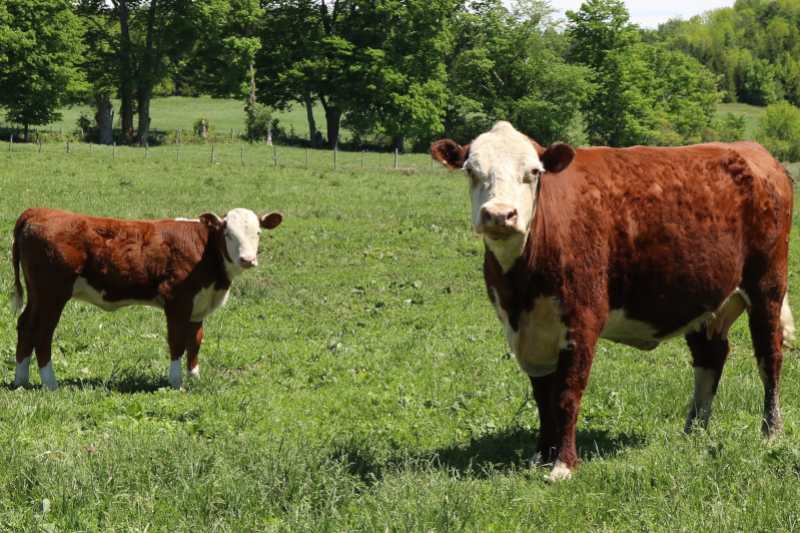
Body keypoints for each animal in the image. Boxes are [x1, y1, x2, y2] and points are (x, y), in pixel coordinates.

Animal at [9, 208, 282, 390]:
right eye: (228, 234)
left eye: (258, 232)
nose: (248, 259)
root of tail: (40, 212)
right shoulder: (178, 301)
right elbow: (177, 343)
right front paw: (176, 383)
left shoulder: (199, 304)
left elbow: (195, 341)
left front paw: (194, 377)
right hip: (53, 294)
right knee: (43, 332)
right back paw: (50, 384)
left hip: (37, 294)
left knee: (25, 326)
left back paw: (21, 380)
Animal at [434, 122, 796, 480]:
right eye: (471, 171)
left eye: (533, 172)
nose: (499, 215)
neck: (520, 288)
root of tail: (752, 149)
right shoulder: (528, 331)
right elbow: (542, 398)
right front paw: (542, 455)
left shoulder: (582, 320)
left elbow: (565, 396)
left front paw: (564, 464)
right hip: (701, 297)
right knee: (711, 357)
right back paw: (693, 431)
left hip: (767, 284)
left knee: (770, 357)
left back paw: (771, 431)